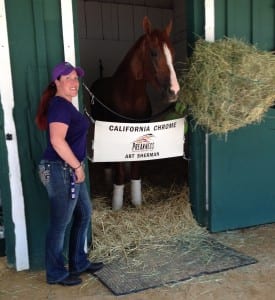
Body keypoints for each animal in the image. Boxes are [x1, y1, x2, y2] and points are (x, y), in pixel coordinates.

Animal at [90, 15, 181, 210]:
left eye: (173, 53)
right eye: (154, 53)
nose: (174, 91)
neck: (129, 96)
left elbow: (135, 168)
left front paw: (136, 201)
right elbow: (118, 170)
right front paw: (117, 204)